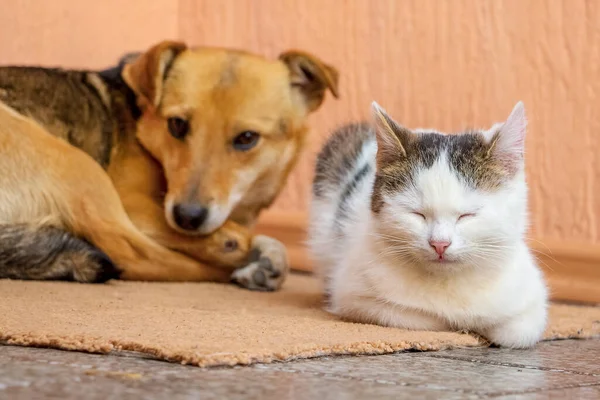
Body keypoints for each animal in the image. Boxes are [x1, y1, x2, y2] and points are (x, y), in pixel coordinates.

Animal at [0, 40, 338, 290]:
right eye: (177, 124)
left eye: (247, 138)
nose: (187, 217)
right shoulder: (134, 203)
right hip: (79, 168)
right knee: (136, 255)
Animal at [310, 102, 548, 346]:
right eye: (418, 214)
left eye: (466, 215)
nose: (439, 244)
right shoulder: (354, 297)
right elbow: (427, 318)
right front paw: (463, 326)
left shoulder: (532, 302)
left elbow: (516, 331)